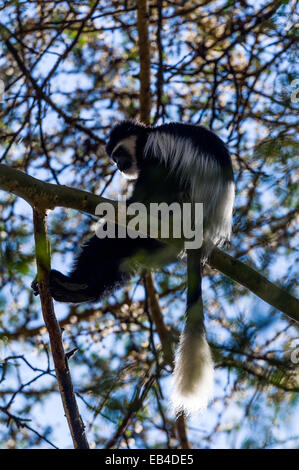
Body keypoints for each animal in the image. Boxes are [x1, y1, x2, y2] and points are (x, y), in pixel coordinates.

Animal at [32, 121, 234, 414]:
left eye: (118, 153)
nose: (118, 165)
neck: (145, 136)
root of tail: (202, 231)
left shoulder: (155, 151)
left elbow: (149, 186)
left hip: (175, 209)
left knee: (119, 234)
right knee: (122, 256)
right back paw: (77, 288)